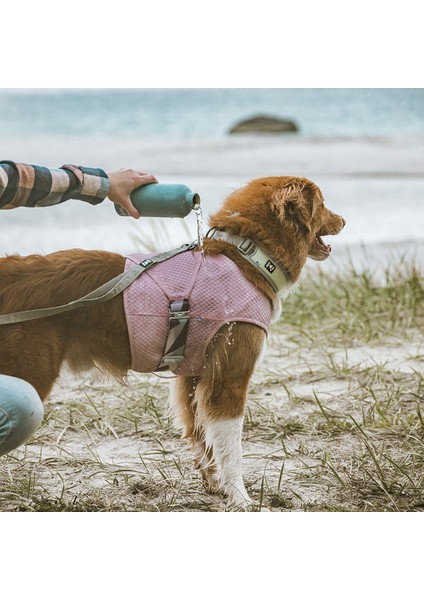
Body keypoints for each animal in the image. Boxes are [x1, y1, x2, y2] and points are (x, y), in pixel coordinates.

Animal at [0, 176, 344, 508]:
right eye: (324, 204)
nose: (343, 220)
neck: (248, 257)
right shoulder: (228, 380)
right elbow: (231, 450)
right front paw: (240, 498)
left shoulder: (194, 376)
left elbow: (201, 436)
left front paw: (214, 485)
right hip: (29, 374)